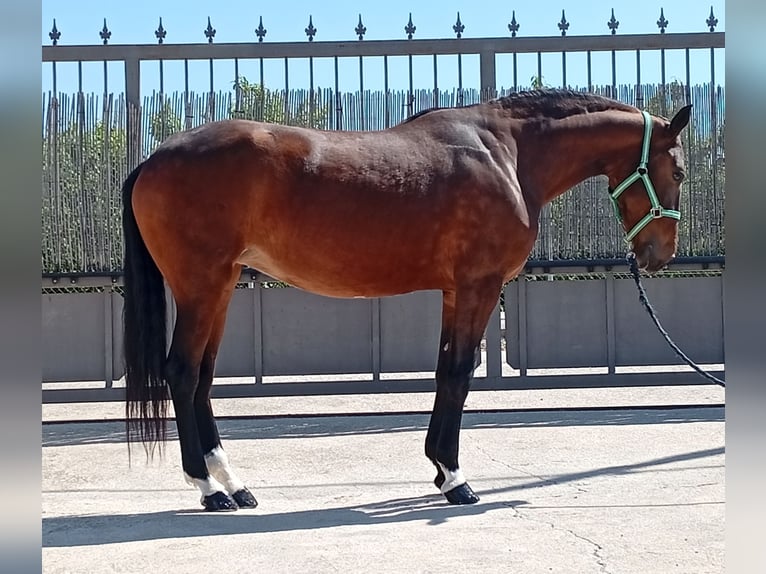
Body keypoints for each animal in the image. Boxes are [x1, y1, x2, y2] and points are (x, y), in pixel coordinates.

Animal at [122, 89, 691, 511]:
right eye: (681, 172)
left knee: (202, 376)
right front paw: (457, 479)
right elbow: (459, 374)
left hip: (220, 288)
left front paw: (439, 468)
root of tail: (153, 158)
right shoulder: (481, 285)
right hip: (201, 286)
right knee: (181, 372)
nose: (658, 254)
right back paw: (208, 489)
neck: (508, 153)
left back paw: (233, 484)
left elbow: (445, 372)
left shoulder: (454, 291)